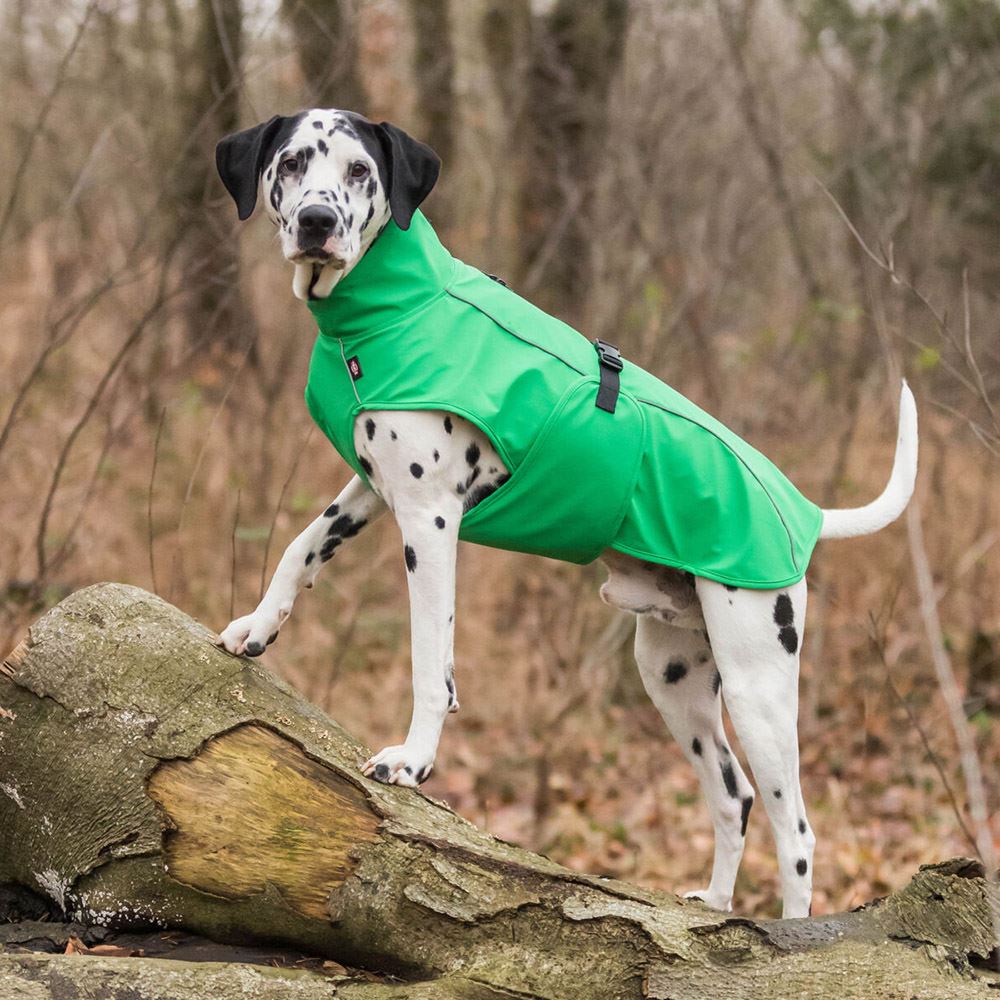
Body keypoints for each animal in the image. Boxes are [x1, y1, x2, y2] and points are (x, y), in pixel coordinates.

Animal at [215, 111, 916, 920]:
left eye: (359, 171)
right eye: (292, 162)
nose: (317, 222)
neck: (397, 304)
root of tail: (802, 513)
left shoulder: (429, 521)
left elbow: (428, 663)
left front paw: (413, 762)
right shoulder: (372, 488)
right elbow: (301, 547)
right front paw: (256, 627)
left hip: (758, 687)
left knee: (795, 830)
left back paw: (792, 933)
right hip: (673, 680)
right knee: (731, 797)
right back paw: (711, 904)